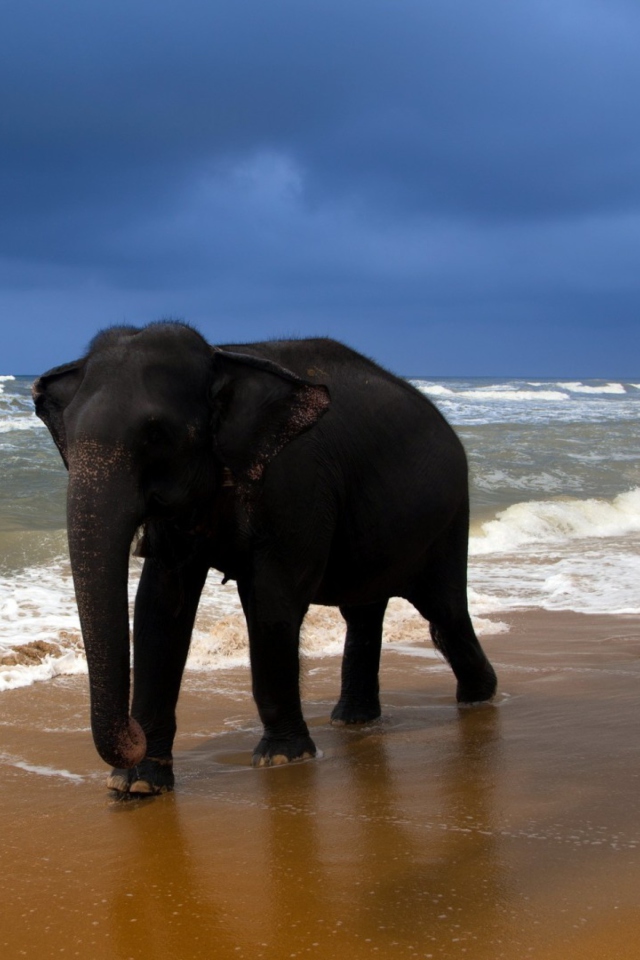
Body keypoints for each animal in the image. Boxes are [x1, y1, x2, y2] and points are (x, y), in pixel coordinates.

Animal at [32, 322, 498, 796]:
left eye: (156, 434)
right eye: (67, 434)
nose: (134, 734)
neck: (223, 357)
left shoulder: (295, 484)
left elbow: (272, 605)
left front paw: (282, 758)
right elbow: (158, 609)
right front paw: (137, 785)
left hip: (448, 517)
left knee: (444, 612)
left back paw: (479, 697)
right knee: (365, 611)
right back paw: (353, 719)